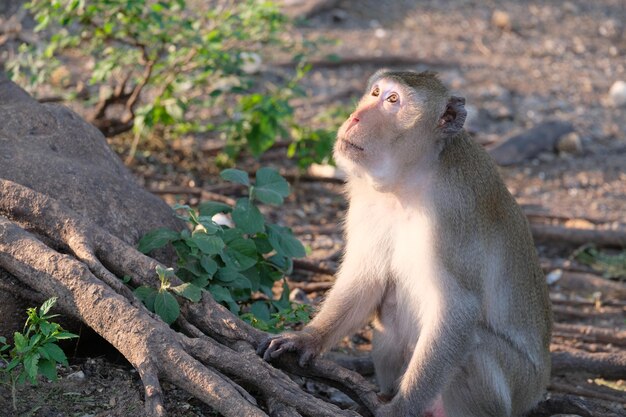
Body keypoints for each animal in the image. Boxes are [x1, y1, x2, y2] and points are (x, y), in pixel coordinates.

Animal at [256, 70, 548, 414]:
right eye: (375, 92)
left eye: (393, 100)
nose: (355, 117)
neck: (411, 179)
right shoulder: (367, 199)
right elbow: (365, 279)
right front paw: (307, 338)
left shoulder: (454, 213)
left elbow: (459, 309)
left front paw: (402, 408)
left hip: (514, 387)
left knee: (474, 351)